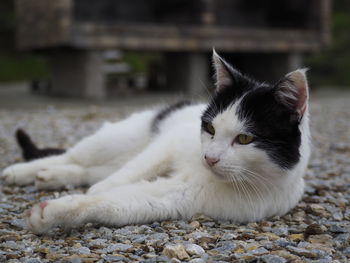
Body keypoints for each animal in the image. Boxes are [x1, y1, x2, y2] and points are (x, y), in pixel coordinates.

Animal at [1, 50, 310, 234]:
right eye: (209, 128)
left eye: (245, 138)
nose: (209, 158)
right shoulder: (168, 143)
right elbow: (128, 174)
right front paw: (96, 190)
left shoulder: (178, 197)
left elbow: (116, 202)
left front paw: (55, 212)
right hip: (116, 138)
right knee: (77, 157)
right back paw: (22, 172)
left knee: (86, 168)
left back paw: (51, 176)